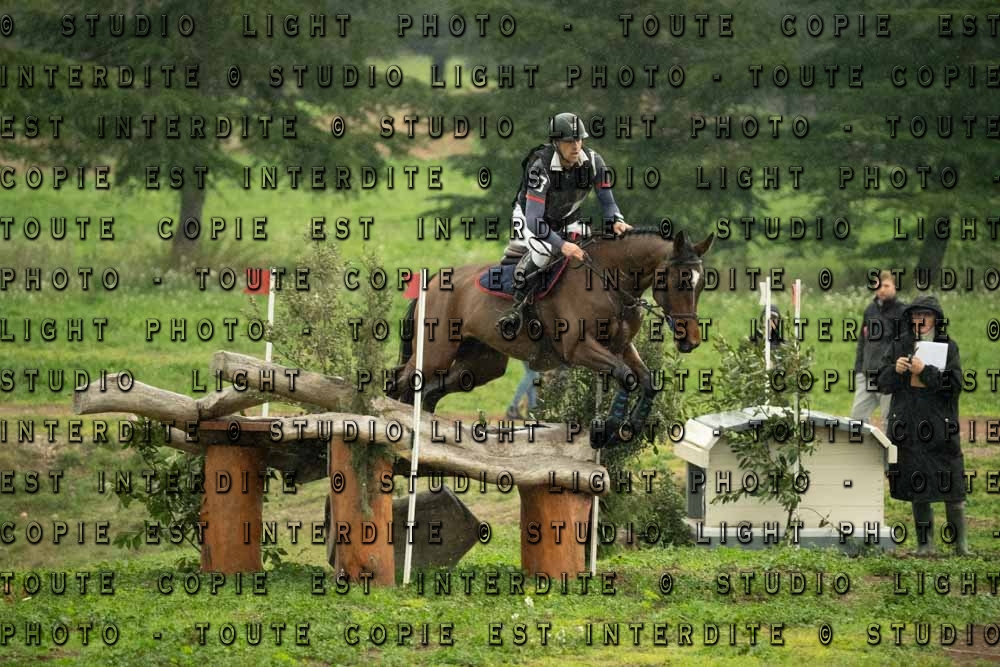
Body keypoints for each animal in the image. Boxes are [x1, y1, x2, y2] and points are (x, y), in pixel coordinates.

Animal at [386, 229, 715, 447]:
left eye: (700, 285)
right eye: (680, 282)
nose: (691, 341)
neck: (610, 281)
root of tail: (433, 280)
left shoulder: (622, 347)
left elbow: (647, 381)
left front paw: (628, 428)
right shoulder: (579, 348)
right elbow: (627, 377)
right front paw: (607, 430)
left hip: (481, 366)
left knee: (430, 392)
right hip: (435, 352)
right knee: (400, 381)